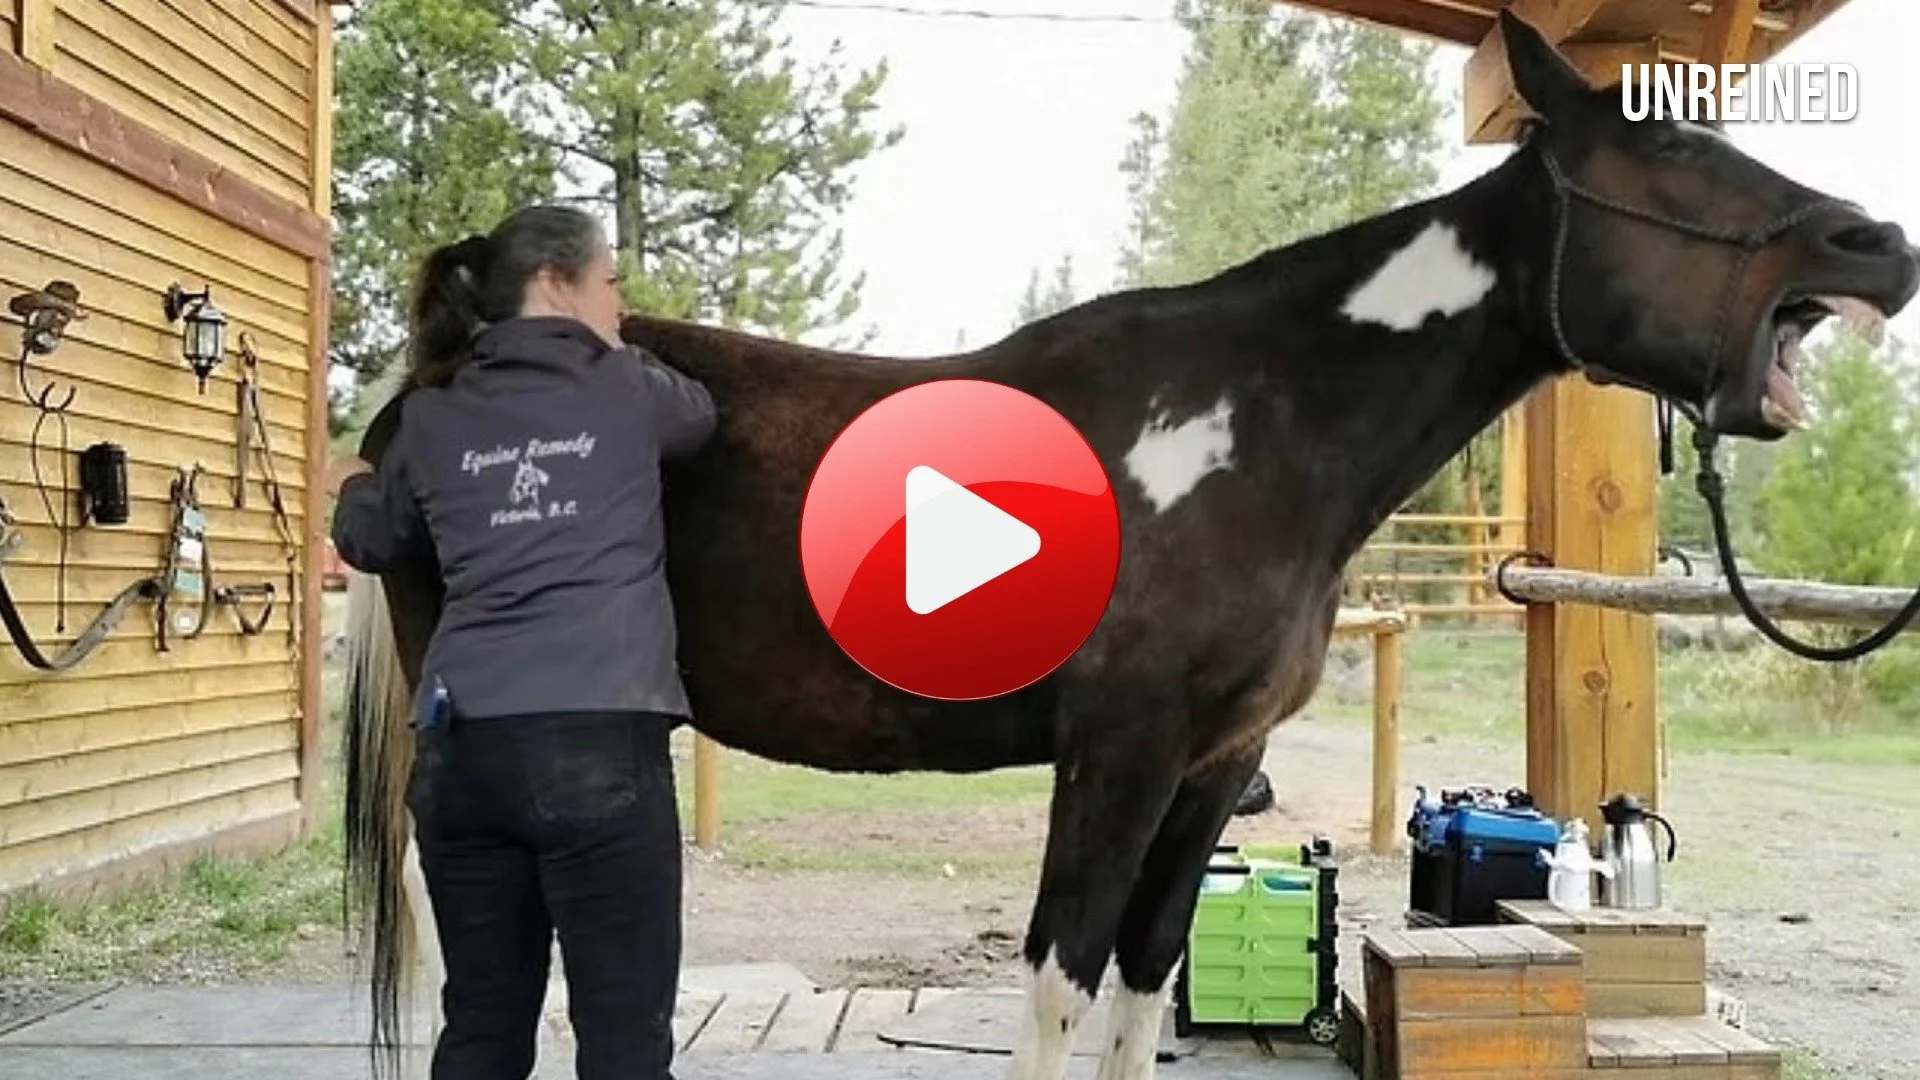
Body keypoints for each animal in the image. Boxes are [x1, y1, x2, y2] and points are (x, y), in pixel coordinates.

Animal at [338, 12, 1918, 1080]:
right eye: (1675, 157)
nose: (1880, 247)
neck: (1255, 427)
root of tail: (442, 363)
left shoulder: (1214, 766)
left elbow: (1144, 989)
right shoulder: (1119, 752)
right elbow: (1061, 983)